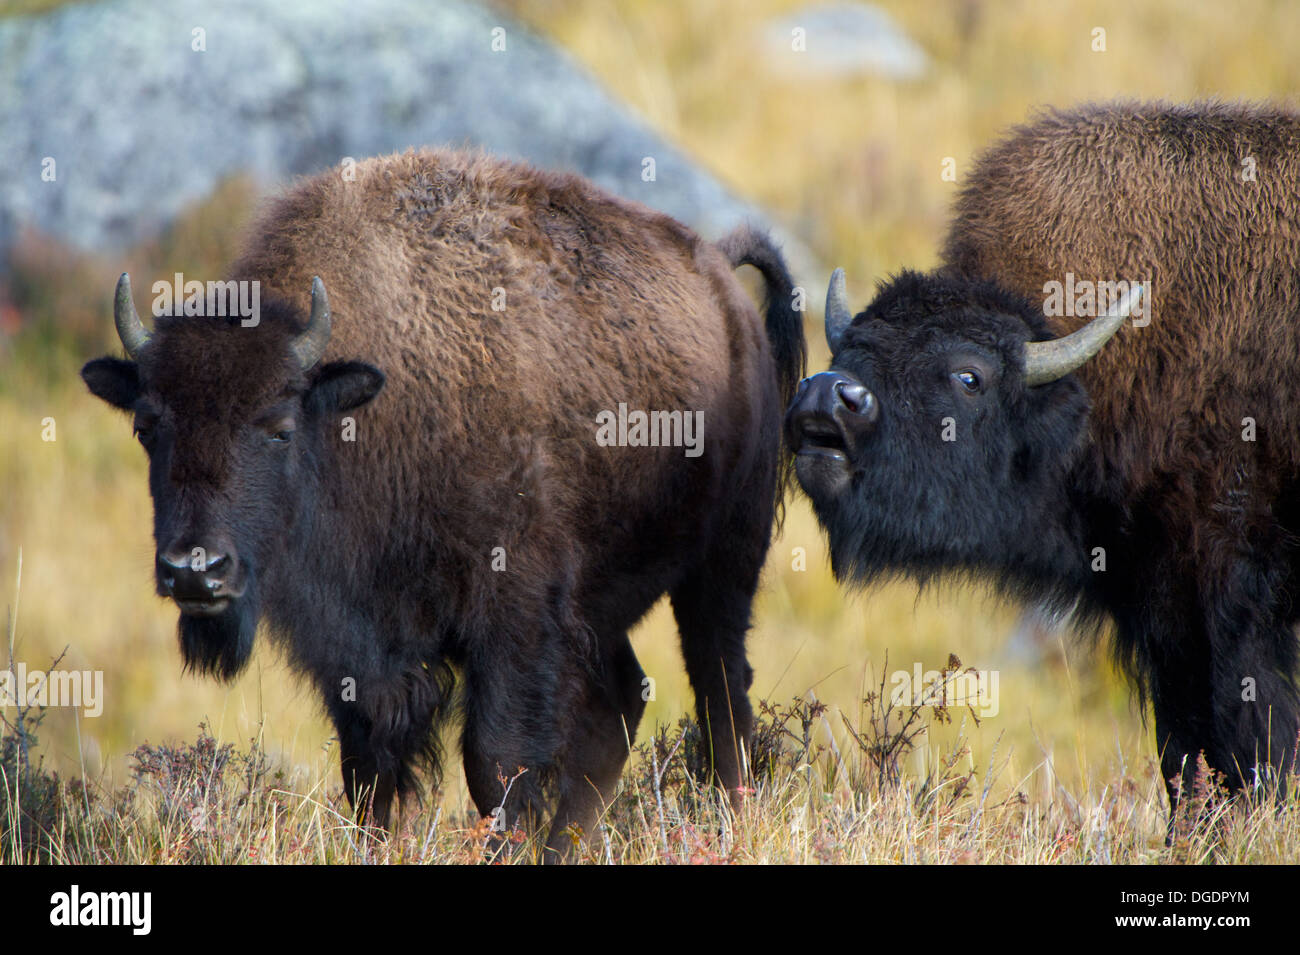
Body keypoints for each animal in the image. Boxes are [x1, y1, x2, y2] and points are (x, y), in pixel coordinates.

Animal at [81, 149, 806, 858]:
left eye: (278, 426)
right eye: (147, 425)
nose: (194, 571)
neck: (360, 408)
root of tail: (724, 283)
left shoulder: (514, 621)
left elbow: (495, 765)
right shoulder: (360, 654)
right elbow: (370, 772)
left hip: (722, 566)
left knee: (720, 692)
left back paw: (730, 822)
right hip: (605, 610)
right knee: (622, 704)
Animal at [785, 101, 1300, 812]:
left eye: (969, 376)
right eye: (850, 345)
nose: (825, 397)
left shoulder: (1230, 603)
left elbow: (1247, 739)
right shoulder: (1164, 618)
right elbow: (1185, 747)